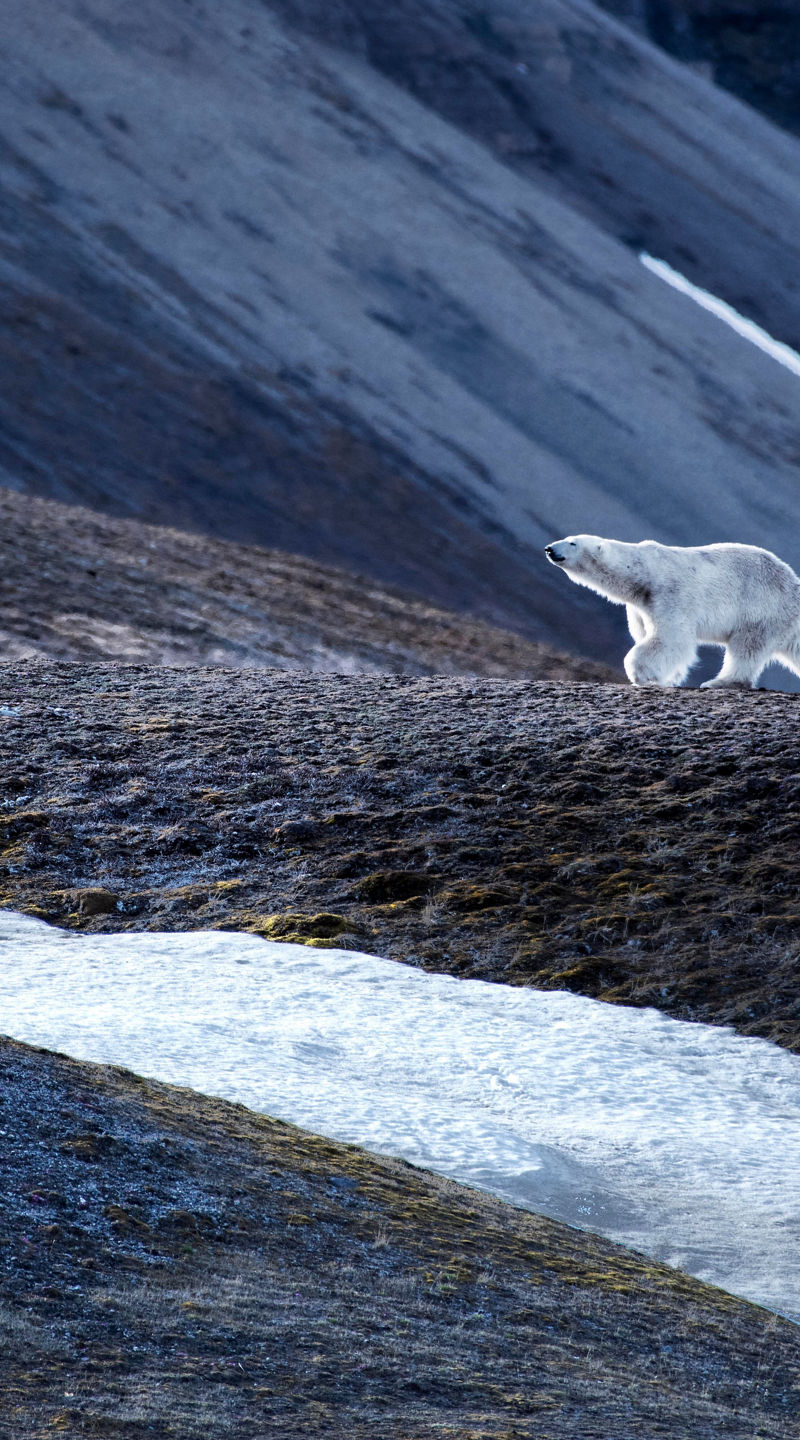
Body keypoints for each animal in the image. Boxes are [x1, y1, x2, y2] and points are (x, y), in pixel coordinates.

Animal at [545, 535, 800, 689]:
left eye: (572, 543)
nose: (549, 548)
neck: (644, 572)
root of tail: (794, 586)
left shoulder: (670, 593)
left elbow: (670, 638)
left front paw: (643, 675)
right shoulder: (639, 607)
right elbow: (646, 634)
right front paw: (669, 678)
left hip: (763, 611)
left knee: (746, 648)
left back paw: (719, 682)